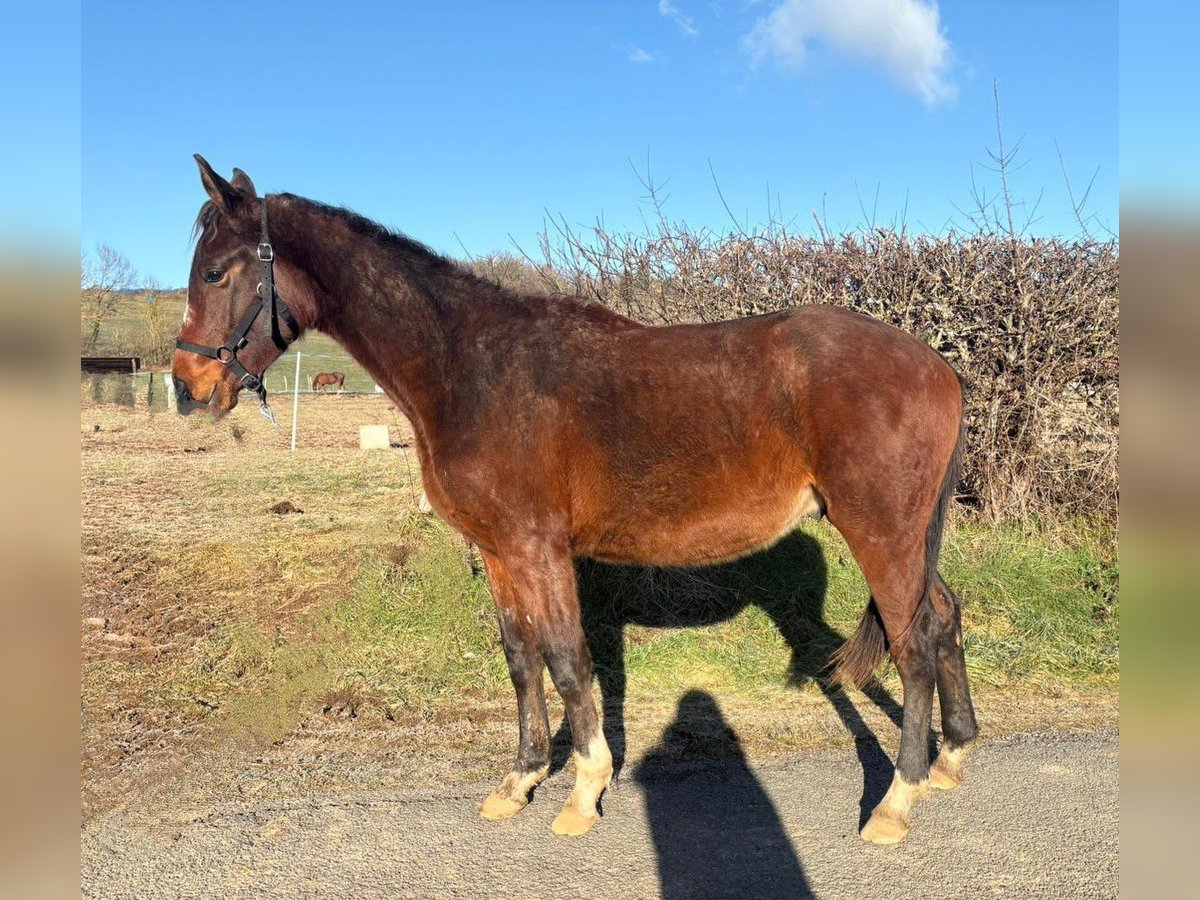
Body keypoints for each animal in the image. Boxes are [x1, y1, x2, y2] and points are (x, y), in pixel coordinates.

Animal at [171, 160, 974, 844]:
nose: (186, 387)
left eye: (214, 271)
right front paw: (521, 780)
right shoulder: (499, 551)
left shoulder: (538, 546)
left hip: (881, 534)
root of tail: (937, 367)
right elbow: (521, 657)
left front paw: (585, 792)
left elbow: (565, 658)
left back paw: (896, 803)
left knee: (912, 645)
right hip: (905, 539)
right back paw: (952, 759)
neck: (469, 370)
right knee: (942, 617)